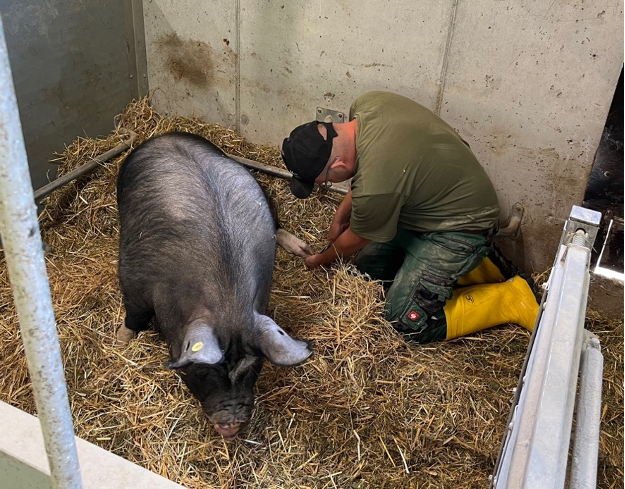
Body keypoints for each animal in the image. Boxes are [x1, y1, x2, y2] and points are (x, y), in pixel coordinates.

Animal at [114, 131, 312, 438]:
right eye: (205, 371)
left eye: (254, 367)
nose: (231, 425)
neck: (226, 302)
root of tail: (167, 134)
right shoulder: (132, 277)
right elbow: (134, 315)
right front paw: (121, 341)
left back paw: (303, 249)